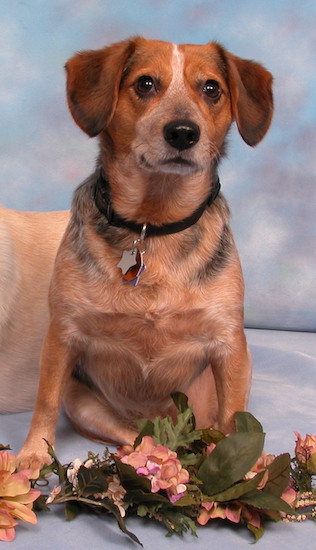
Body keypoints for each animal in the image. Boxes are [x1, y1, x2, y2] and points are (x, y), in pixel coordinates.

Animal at [15, 36, 272, 472]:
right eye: (145, 83)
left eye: (212, 88)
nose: (183, 132)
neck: (154, 225)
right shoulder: (62, 335)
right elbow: (44, 401)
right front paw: (33, 454)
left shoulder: (229, 346)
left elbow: (235, 417)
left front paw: (247, 471)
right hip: (86, 404)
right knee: (138, 439)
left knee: (213, 426)